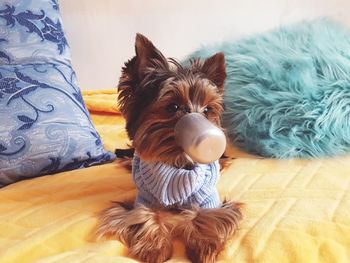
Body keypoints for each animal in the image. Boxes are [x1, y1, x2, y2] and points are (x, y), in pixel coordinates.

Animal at [97, 34, 242, 262]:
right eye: (172, 107)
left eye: (207, 110)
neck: (178, 164)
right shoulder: (143, 199)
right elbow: (145, 215)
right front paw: (154, 248)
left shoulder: (211, 199)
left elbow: (208, 215)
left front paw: (204, 246)